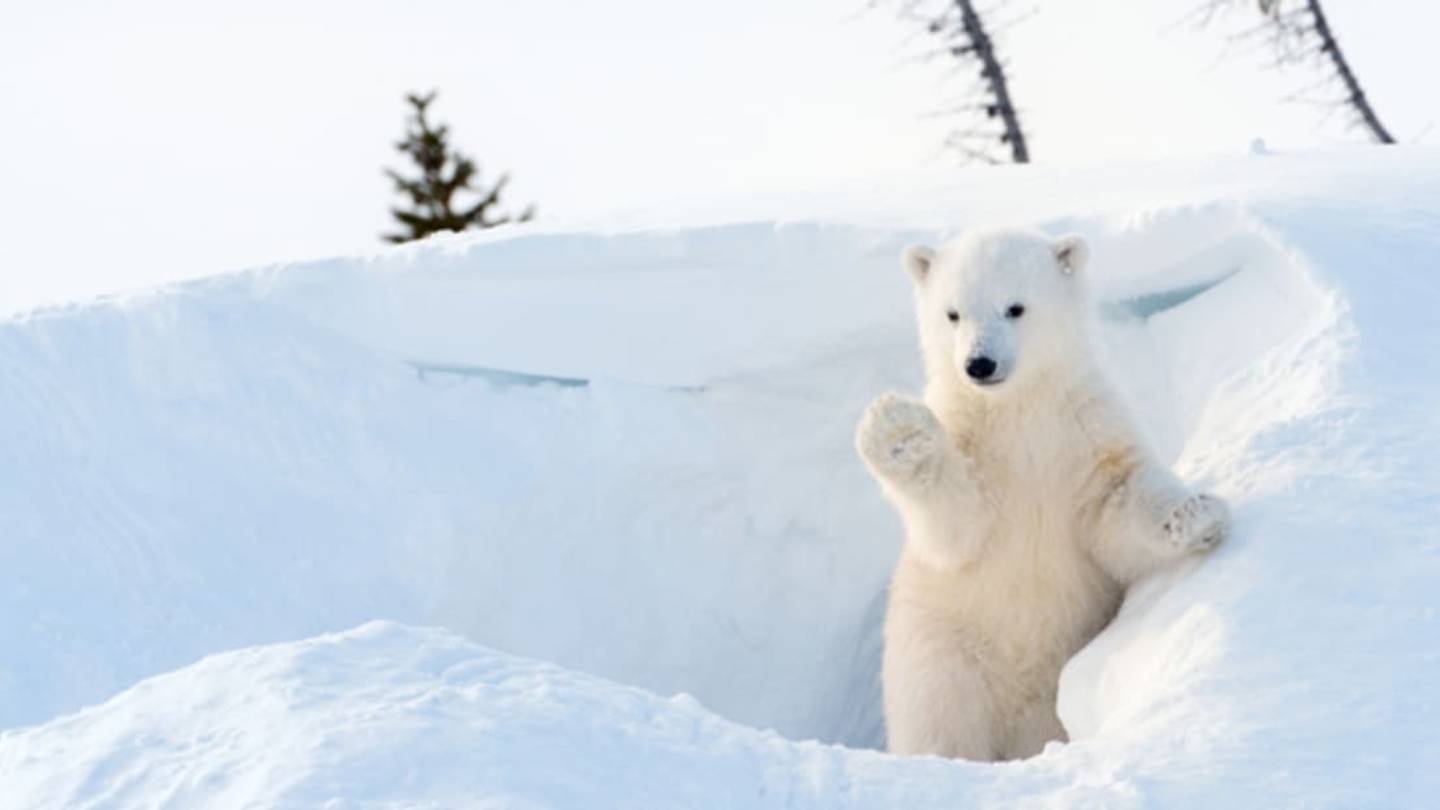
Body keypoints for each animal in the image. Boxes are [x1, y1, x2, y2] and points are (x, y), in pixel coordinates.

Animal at [855, 227, 1228, 762]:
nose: (978, 364)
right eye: (952, 313)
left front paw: (1195, 514)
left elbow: (1116, 503)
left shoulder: (1085, 429)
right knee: (940, 724)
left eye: (1015, 307)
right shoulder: (974, 445)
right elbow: (957, 526)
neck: (1018, 410)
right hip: (941, 654)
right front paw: (897, 431)